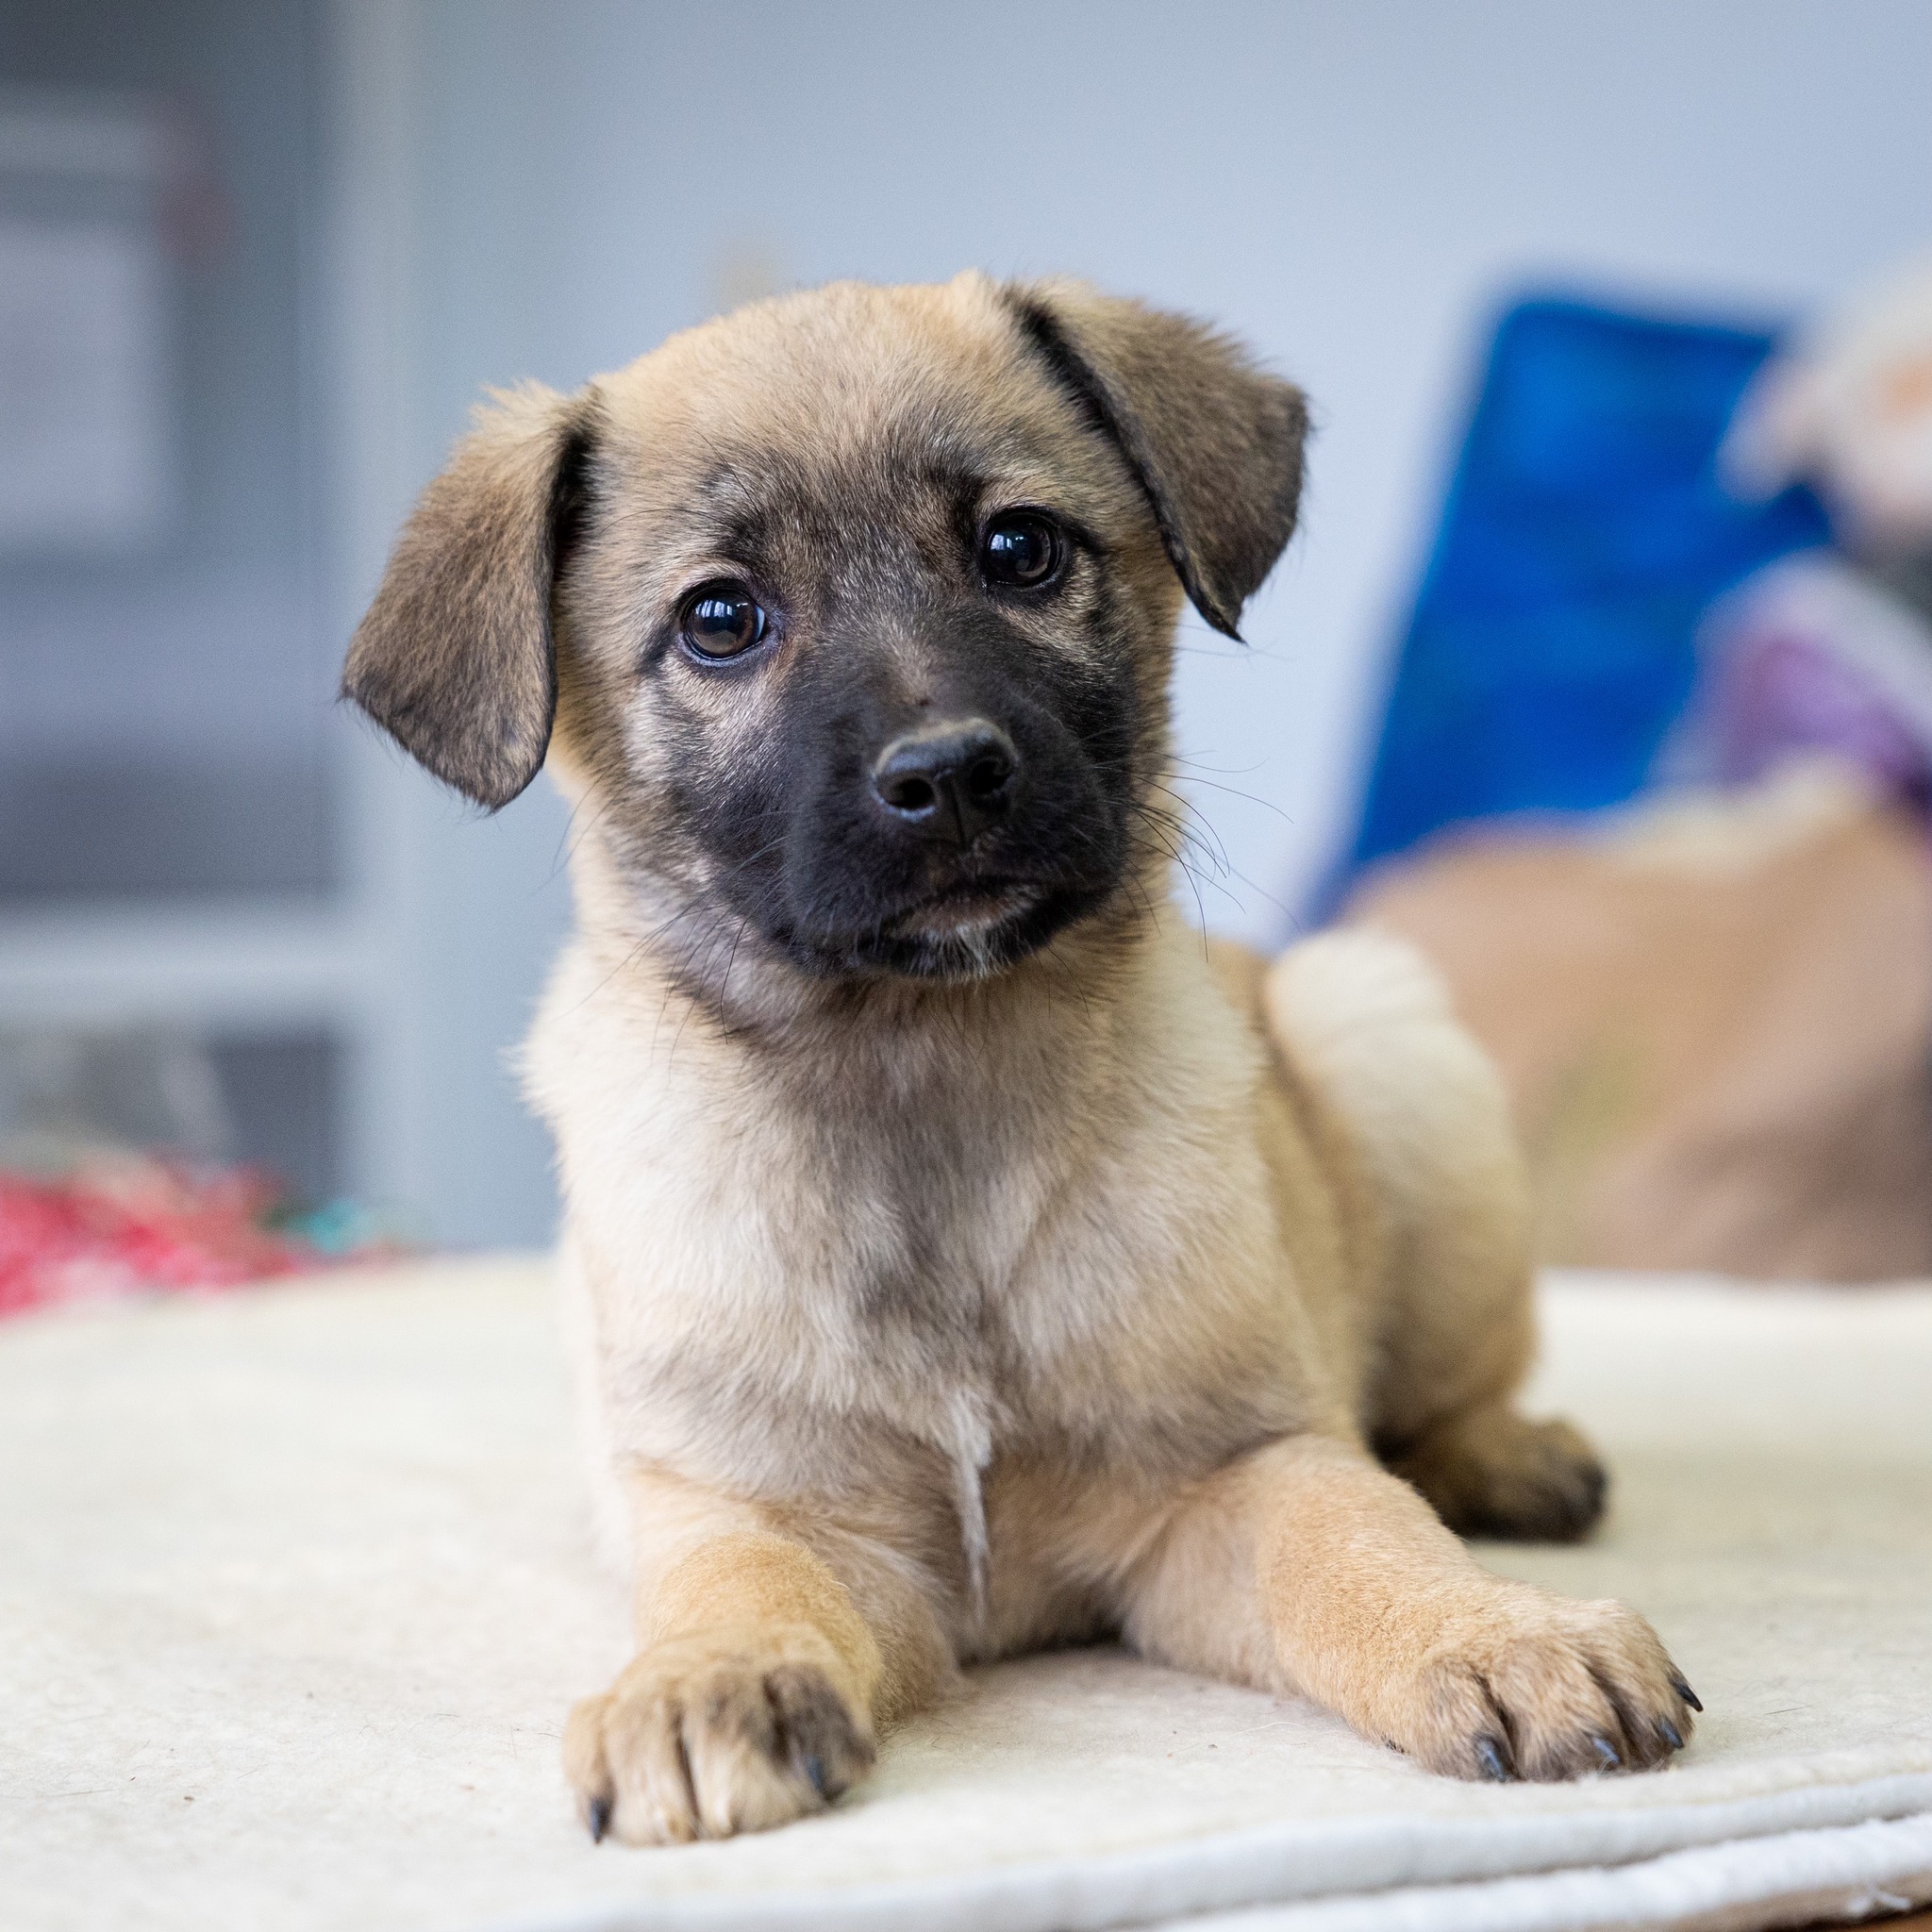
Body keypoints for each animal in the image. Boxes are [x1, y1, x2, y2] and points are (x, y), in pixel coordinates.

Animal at [344, 272, 1698, 1846]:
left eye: (1019, 548)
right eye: (722, 620)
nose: (945, 777)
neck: (930, 1074)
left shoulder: (1230, 1470)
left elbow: (1359, 1535)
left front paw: (1495, 1632)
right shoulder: (770, 1508)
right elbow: (741, 1581)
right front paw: (702, 1685)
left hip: (1394, 1049)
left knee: (1428, 1412)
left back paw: (1505, 1459)